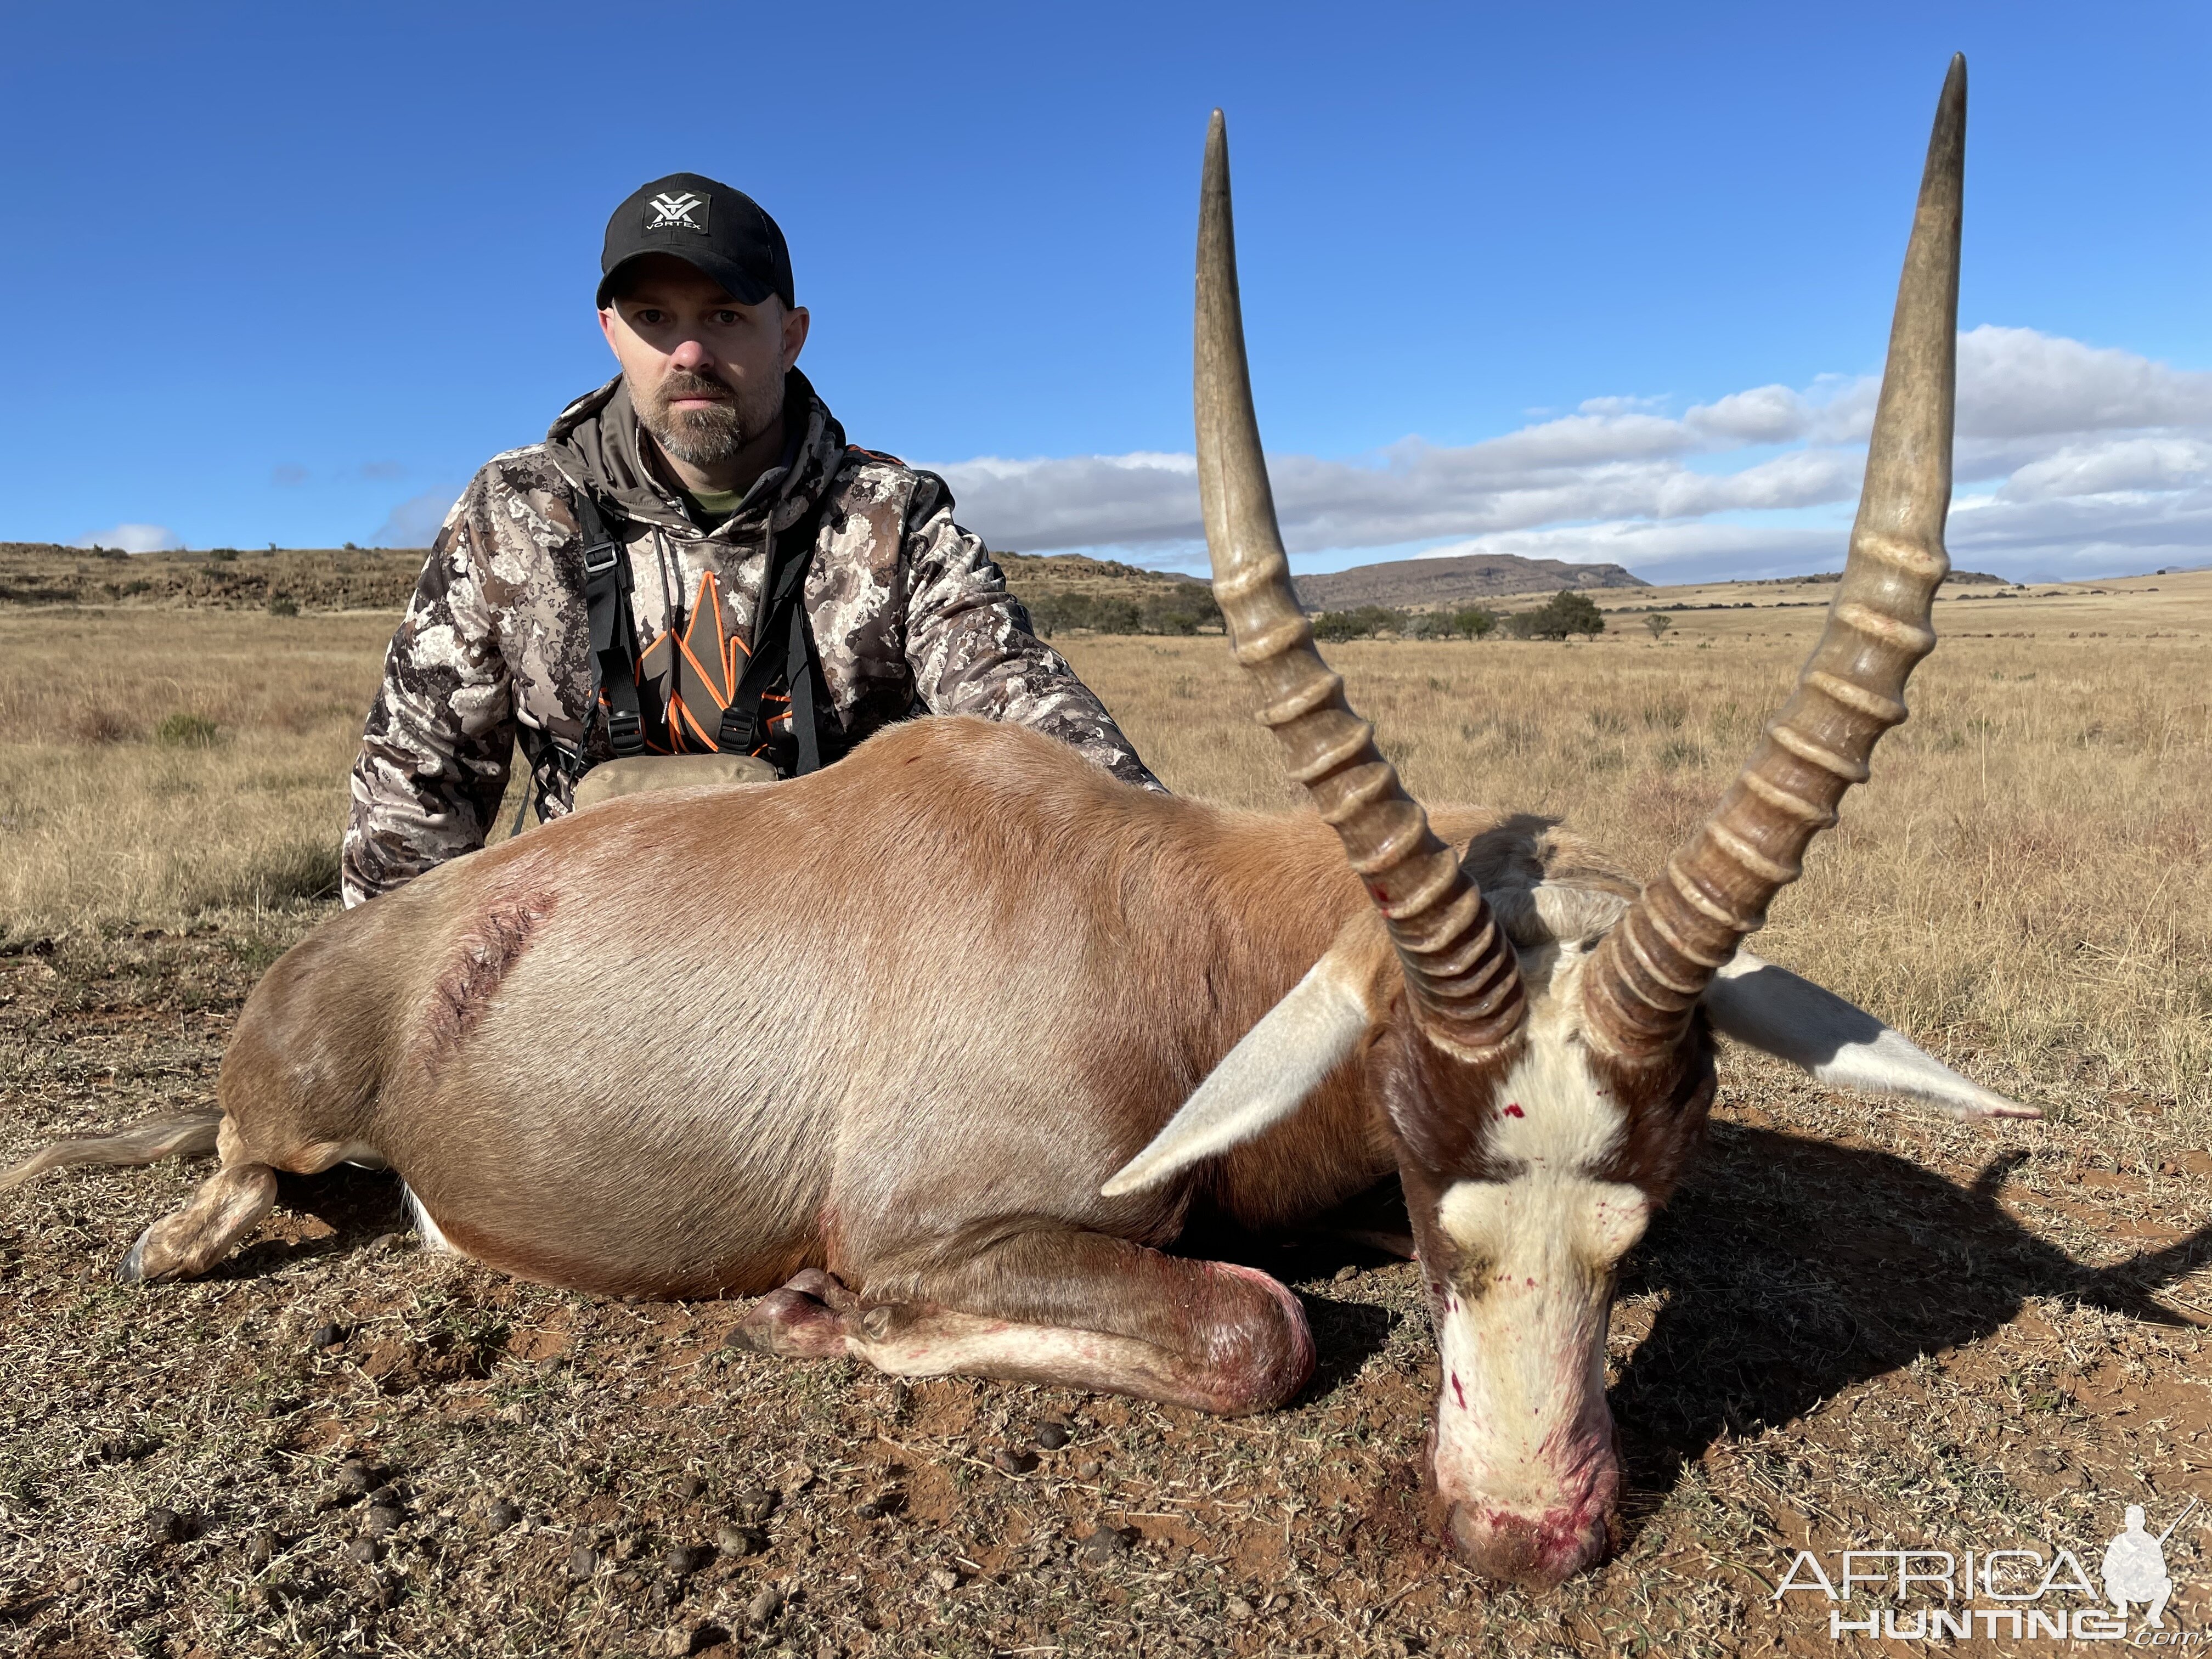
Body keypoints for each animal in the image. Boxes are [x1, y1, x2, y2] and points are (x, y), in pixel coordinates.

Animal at [8, 61, 2026, 1601]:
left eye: (1651, 1190)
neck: (1155, 912)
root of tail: (359, 951)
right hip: (287, 1111)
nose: (1519, 1531)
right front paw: (823, 1320)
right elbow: (1257, 1326)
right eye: (1414, 1138)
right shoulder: (948, 1222)